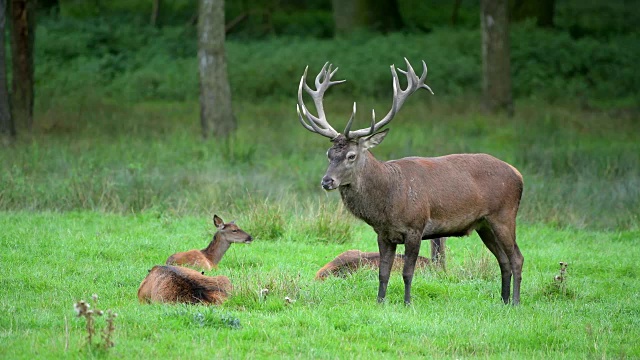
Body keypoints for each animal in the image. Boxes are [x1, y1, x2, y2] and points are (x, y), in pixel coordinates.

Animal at [298, 58, 524, 304]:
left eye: (351, 155)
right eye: (329, 154)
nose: (327, 181)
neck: (387, 202)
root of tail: (518, 174)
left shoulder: (416, 227)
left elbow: (407, 272)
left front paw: (407, 303)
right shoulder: (383, 234)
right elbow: (383, 272)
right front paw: (380, 302)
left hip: (504, 215)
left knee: (517, 258)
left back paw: (515, 303)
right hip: (484, 224)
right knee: (503, 260)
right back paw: (503, 300)